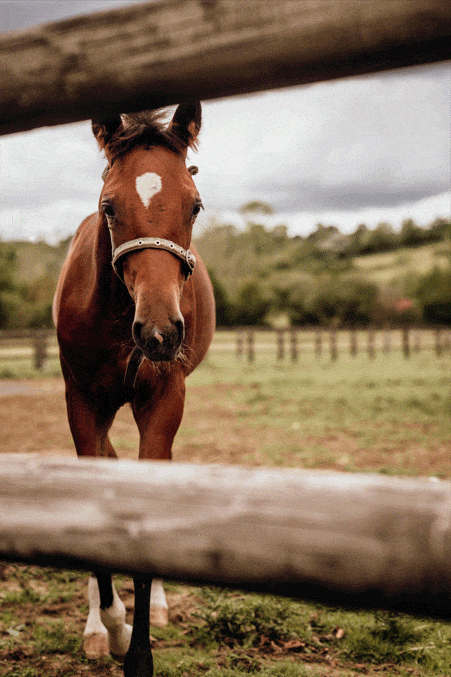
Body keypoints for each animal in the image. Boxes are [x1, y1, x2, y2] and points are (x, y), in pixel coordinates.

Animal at [53, 101, 215, 676]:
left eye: (194, 206)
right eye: (109, 206)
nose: (160, 332)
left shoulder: (164, 403)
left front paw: (138, 650)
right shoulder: (82, 402)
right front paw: (114, 627)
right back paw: (98, 626)